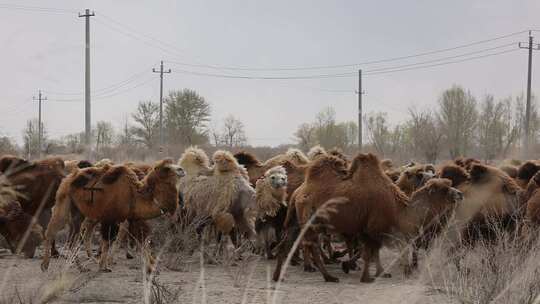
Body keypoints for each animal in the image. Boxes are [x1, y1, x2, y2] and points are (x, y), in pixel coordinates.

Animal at [39, 159, 184, 274]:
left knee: (73, 239)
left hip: (78, 212)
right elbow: (108, 241)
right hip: (63, 201)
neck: (134, 195)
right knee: (53, 230)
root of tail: (67, 178)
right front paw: (104, 266)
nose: (182, 169)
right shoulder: (110, 218)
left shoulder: (130, 218)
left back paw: (81, 267)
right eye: (166, 168)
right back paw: (45, 265)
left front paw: (151, 267)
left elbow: (142, 240)